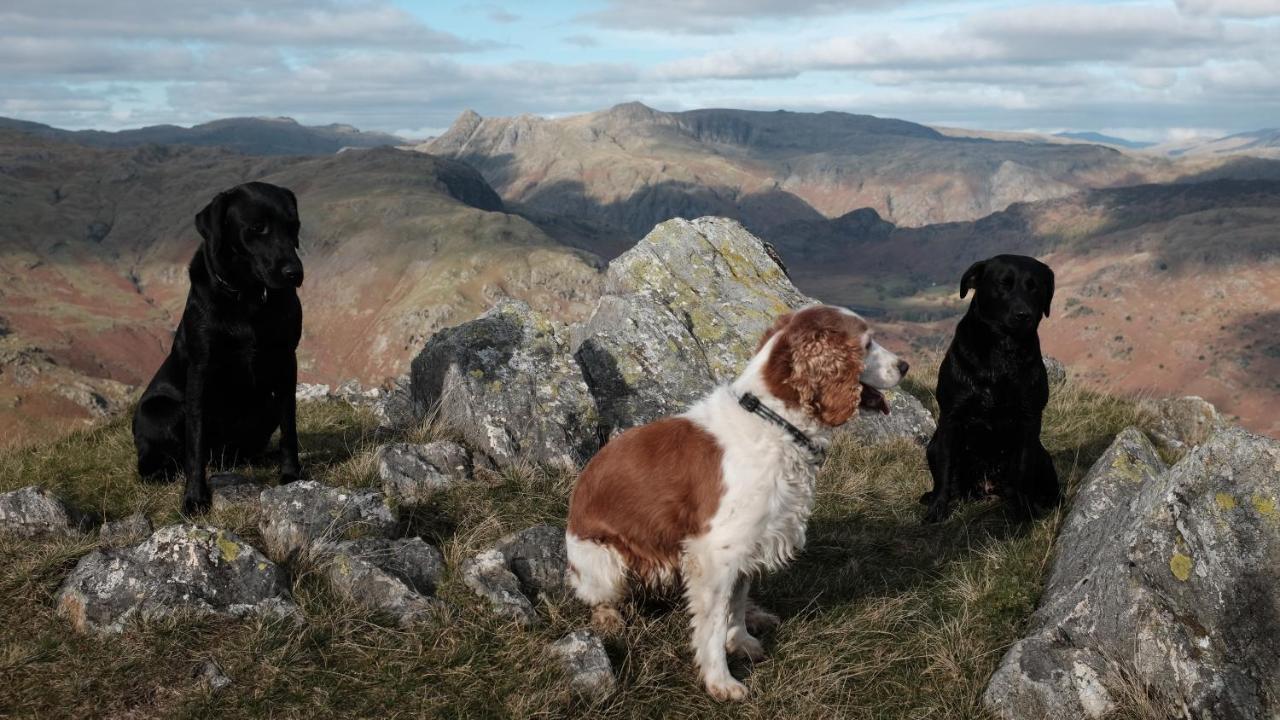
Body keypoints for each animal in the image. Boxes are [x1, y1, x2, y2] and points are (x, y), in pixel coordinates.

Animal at [133, 181, 305, 512]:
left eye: (294, 226)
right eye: (257, 227)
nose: (295, 273)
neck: (248, 298)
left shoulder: (287, 361)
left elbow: (289, 426)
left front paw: (291, 475)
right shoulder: (201, 371)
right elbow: (196, 445)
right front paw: (195, 498)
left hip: (265, 405)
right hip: (159, 411)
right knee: (157, 460)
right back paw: (163, 472)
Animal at [926, 254, 1054, 525]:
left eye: (1035, 287)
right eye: (1003, 284)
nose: (1023, 315)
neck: (1002, 352)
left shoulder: (1030, 420)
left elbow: (1023, 471)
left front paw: (1025, 512)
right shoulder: (951, 418)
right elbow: (945, 469)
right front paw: (937, 509)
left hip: (1043, 455)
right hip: (932, 446)